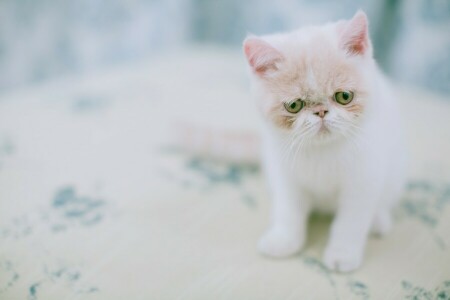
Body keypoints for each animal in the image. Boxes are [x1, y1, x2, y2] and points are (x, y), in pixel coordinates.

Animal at [244, 10, 406, 272]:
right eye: (294, 105)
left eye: (344, 96)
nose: (320, 111)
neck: (323, 151)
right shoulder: (285, 176)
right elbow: (288, 211)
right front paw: (283, 240)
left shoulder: (363, 180)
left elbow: (350, 222)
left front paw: (342, 254)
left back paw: (378, 220)